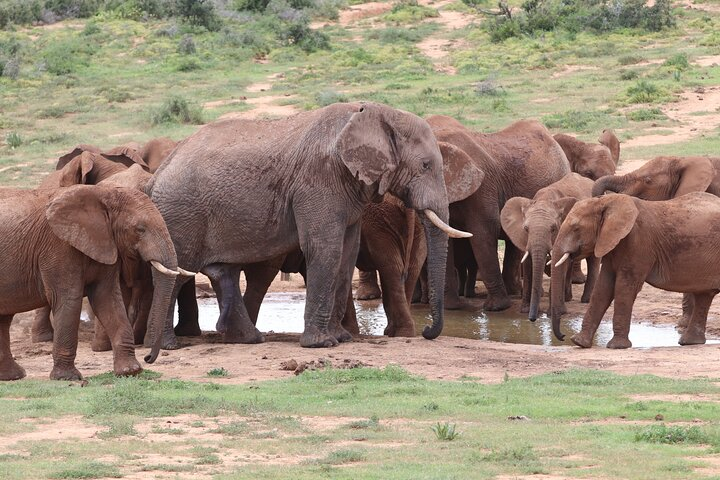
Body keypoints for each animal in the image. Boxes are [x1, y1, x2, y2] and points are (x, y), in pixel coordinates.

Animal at [0, 183, 179, 378]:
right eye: (140, 229)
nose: (148, 357)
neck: (102, 194)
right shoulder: (59, 246)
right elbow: (68, 300)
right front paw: (67, 377)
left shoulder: (106, 243)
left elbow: (107, 298)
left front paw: (130, 371)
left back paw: (13, 376)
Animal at [146, 101, 476, 358]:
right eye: (425, 165)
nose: (427, 331)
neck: (378, 112)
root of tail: (157, 174)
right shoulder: (319, 180)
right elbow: (325, 248)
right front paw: (322, 344)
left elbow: (347, 252)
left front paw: (341, 339)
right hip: (181, 214)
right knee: (178, 272)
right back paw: (167, 346)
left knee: (221, 271)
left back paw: (249, 339)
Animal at [500, 173, 596, 322]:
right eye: (526, 229)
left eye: (553, 229)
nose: (532, 319)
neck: (545, 199)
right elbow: (528, 263)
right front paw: (525, 310)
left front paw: (555, 313)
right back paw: (567, 298)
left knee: (593, 260)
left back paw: (586, 300)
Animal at [548, 192, 720, 348]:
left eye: (576, 228)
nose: (562, 336)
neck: (607, 201)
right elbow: (603, 287)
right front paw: (579, 342)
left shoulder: (638, 243)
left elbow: (624, 287)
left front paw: (617, 346)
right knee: (704, 295)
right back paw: (690, 342)